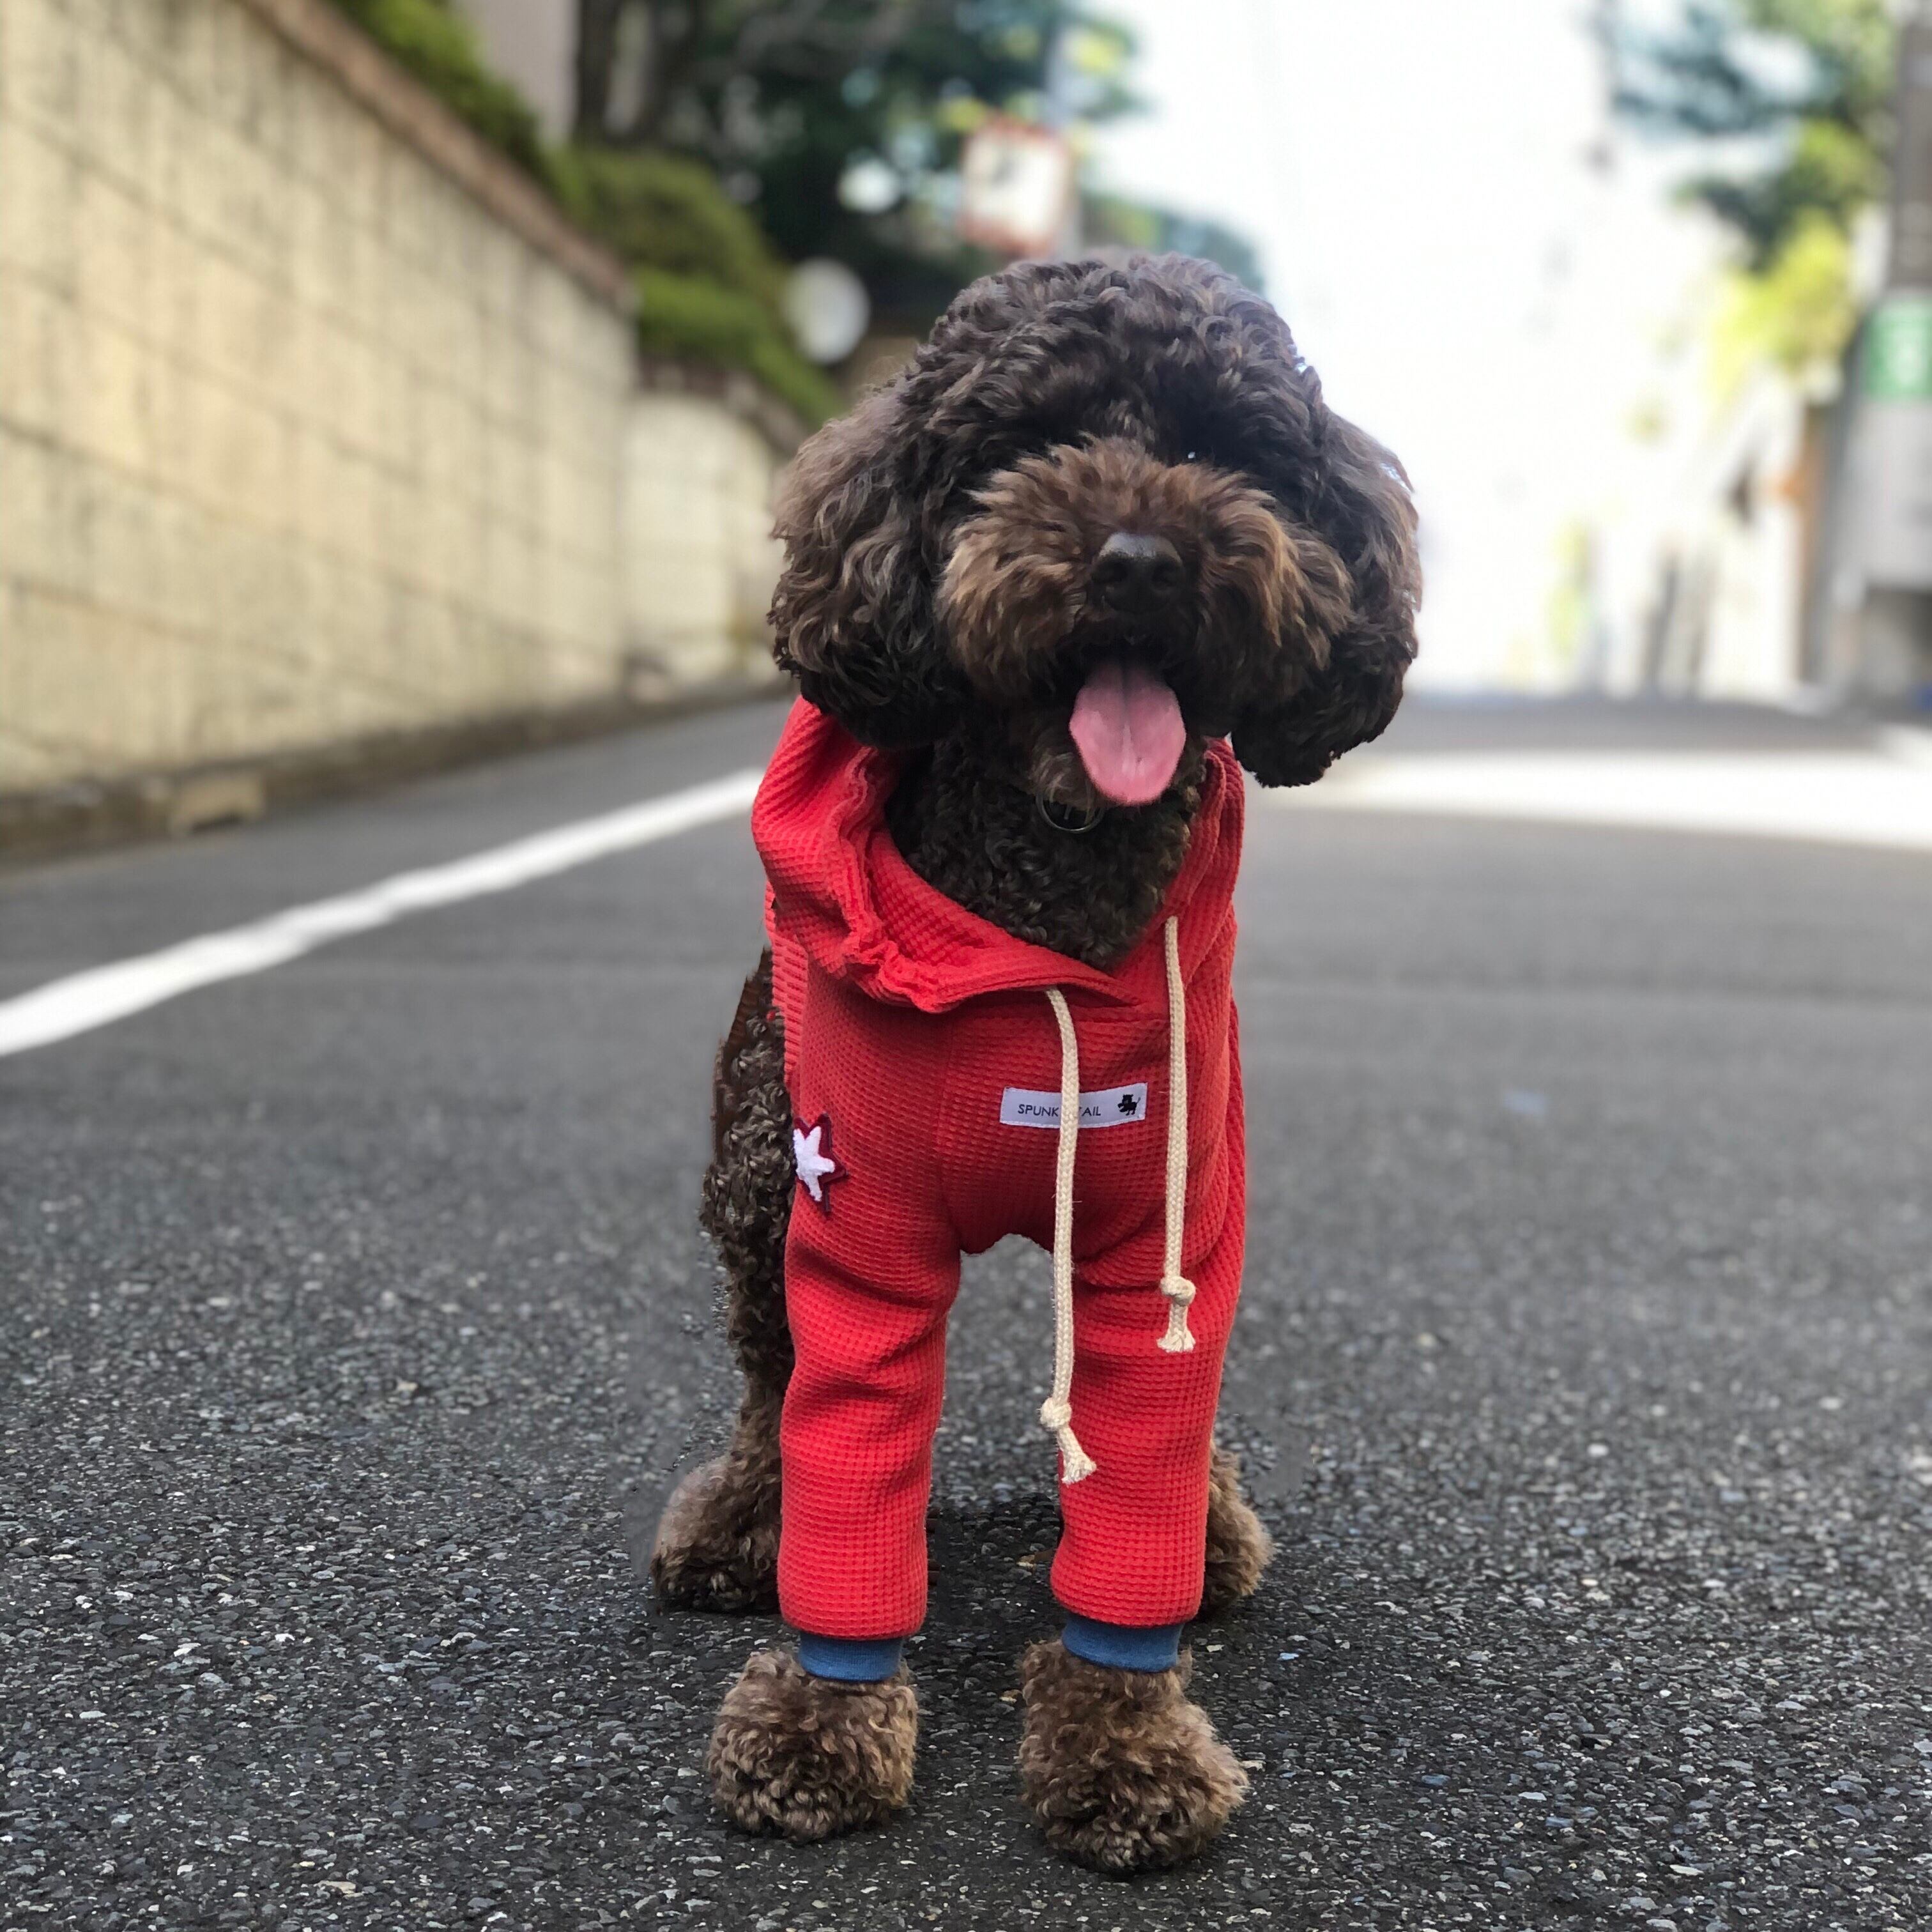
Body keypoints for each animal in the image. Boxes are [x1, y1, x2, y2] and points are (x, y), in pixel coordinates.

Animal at [651, 253, 1420, 1871]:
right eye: (1027, 442)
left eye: (1219, 445)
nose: (1138, 558)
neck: (1040, 911)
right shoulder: (856, 1228)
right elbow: (845, 1451)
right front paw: (820, 1721)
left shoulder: (1163, 1249)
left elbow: (1135, 1513)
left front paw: (1124, 1746)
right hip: (754, 1182)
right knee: (767, 1385)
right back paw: (743, 1521)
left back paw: (1212, 1524)